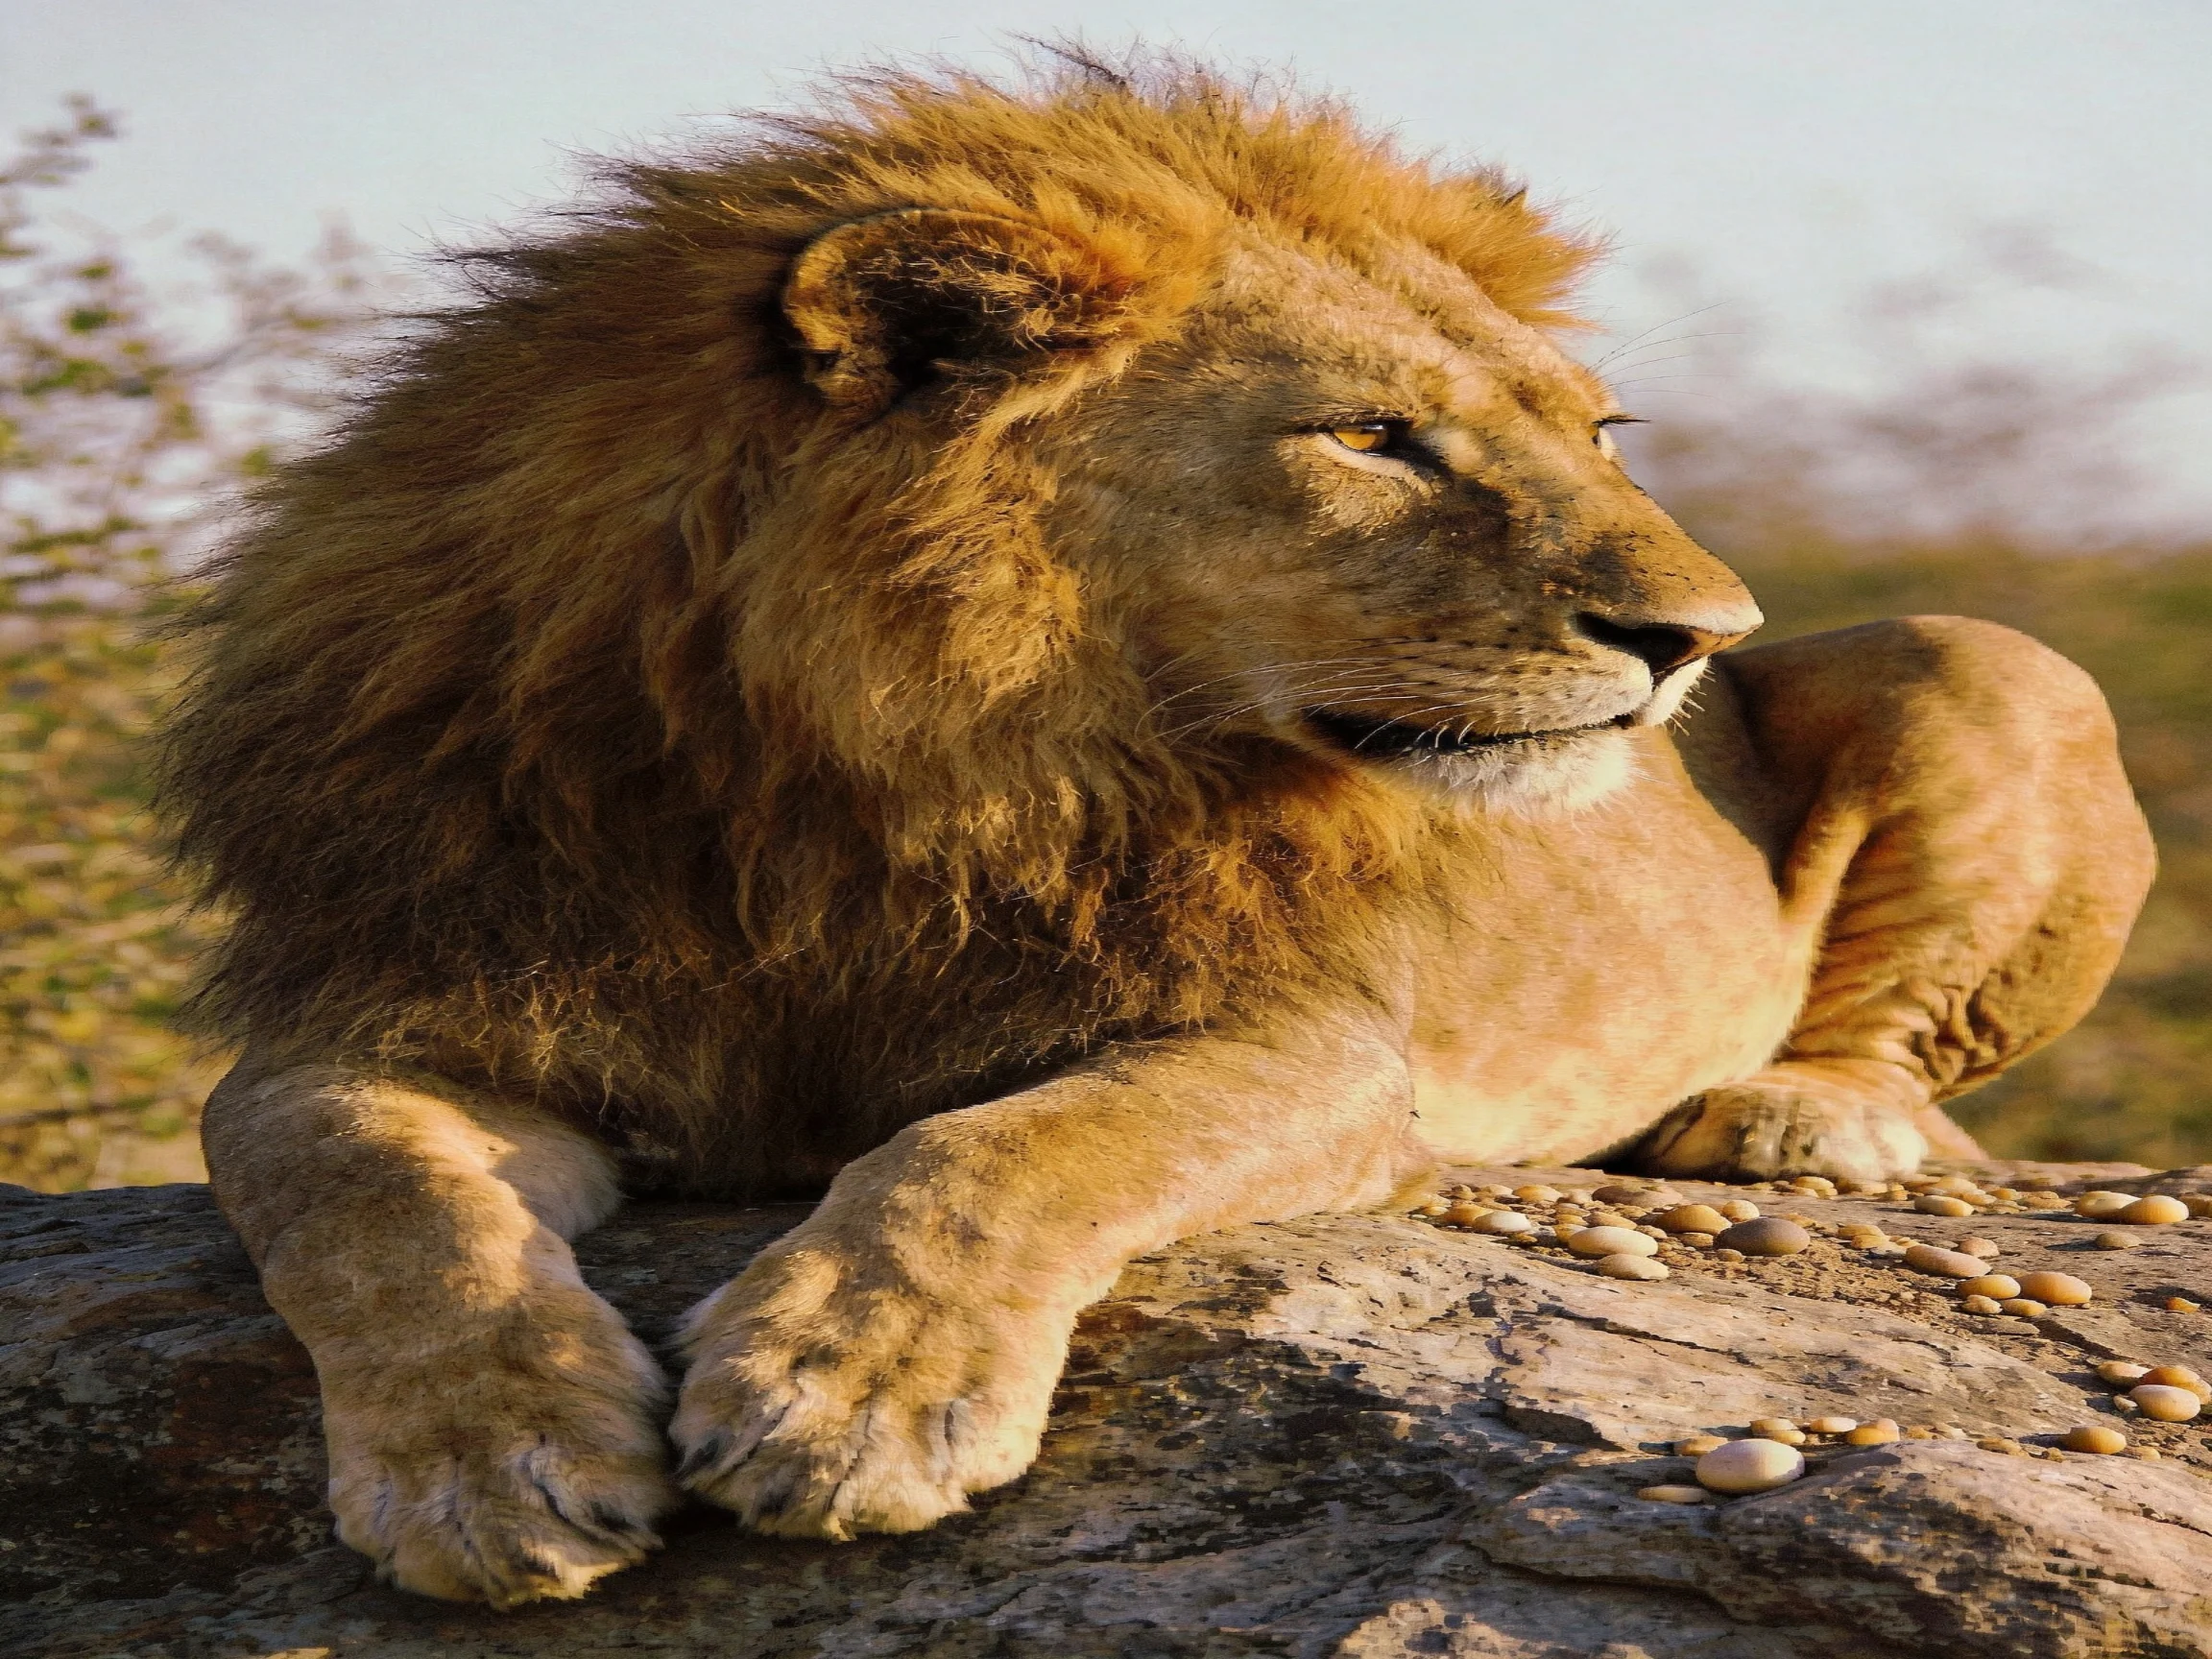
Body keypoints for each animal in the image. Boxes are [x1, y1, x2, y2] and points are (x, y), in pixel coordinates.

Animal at [161, 56, 2154, 1607]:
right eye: (1369, 436)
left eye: (1596, 430)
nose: (1699, 638)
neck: (859, 770)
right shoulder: (412, 1002)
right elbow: (361, 1187)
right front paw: (487, 1458)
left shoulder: (1312, 1043)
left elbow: (1006, 1151)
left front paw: (847, 1393)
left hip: (1983, 656)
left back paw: (1787, 1115)